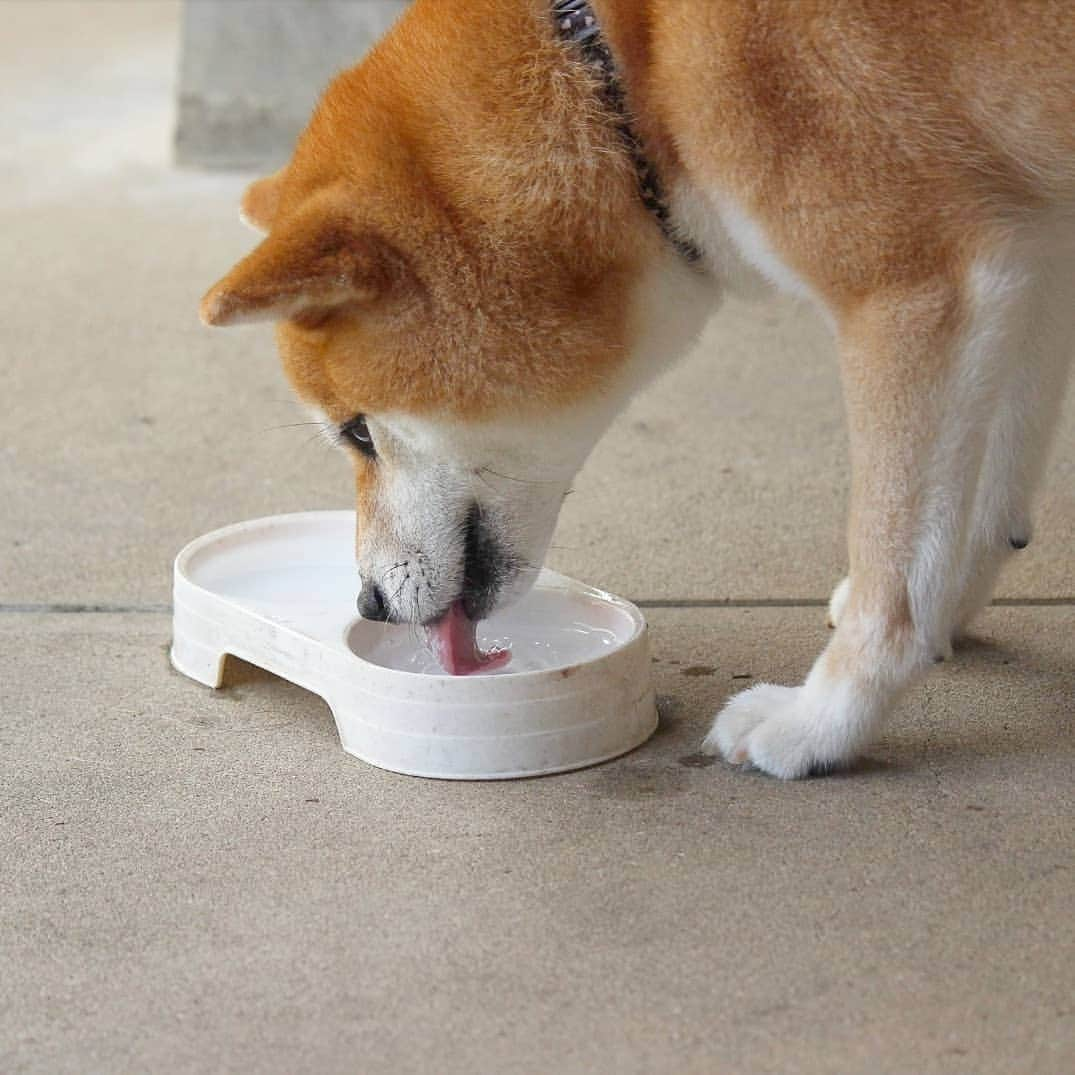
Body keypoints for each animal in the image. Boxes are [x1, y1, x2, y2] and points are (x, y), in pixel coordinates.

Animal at [202, 0, 1075, 774]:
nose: (368, 606)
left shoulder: (914, 290)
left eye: (355, 431)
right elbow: (982, 503)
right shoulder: (1022, 253)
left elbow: (891, 566)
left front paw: (821, 722)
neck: (623, 74)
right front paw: (948, 609)